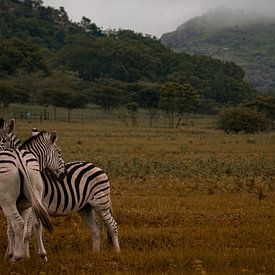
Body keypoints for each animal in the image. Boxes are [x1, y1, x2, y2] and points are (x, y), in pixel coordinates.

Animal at [0, 130, 66, 262]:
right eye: (59, 152)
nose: (64, 174)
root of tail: (19, 160)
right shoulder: (26, 205)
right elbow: (24, 229)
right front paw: (22, 253)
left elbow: (12, 229)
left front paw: (12, 253)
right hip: (32, 194)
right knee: (36, 223)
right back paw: (40, 254)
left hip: (7, 201)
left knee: (18, 224)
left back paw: (16, 257)